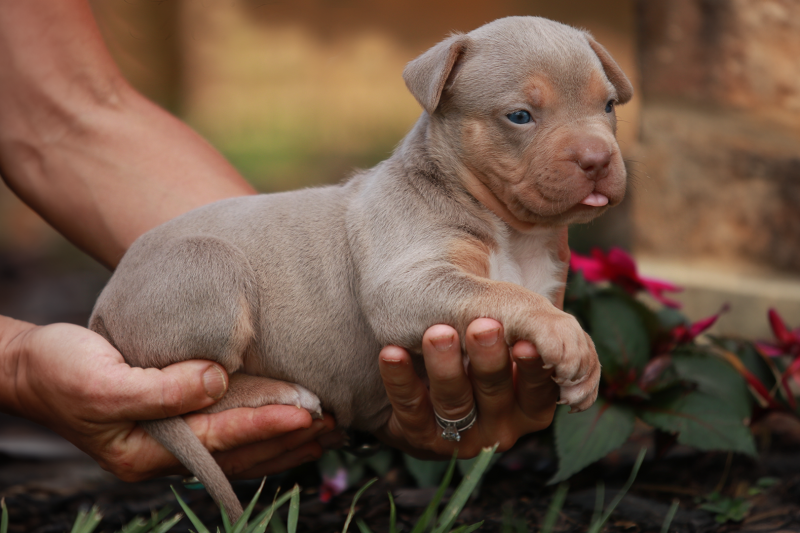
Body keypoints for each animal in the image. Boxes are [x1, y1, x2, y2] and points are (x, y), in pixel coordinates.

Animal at [90, 15, 632, 520]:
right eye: (520, 116)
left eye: (608, 106)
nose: (598, 159)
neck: (513, 231)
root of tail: (103, 307)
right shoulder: (406, 283)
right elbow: (503, 293)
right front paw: (570, 340)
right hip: (209, 268)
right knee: (202, 385)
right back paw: (278, 391)